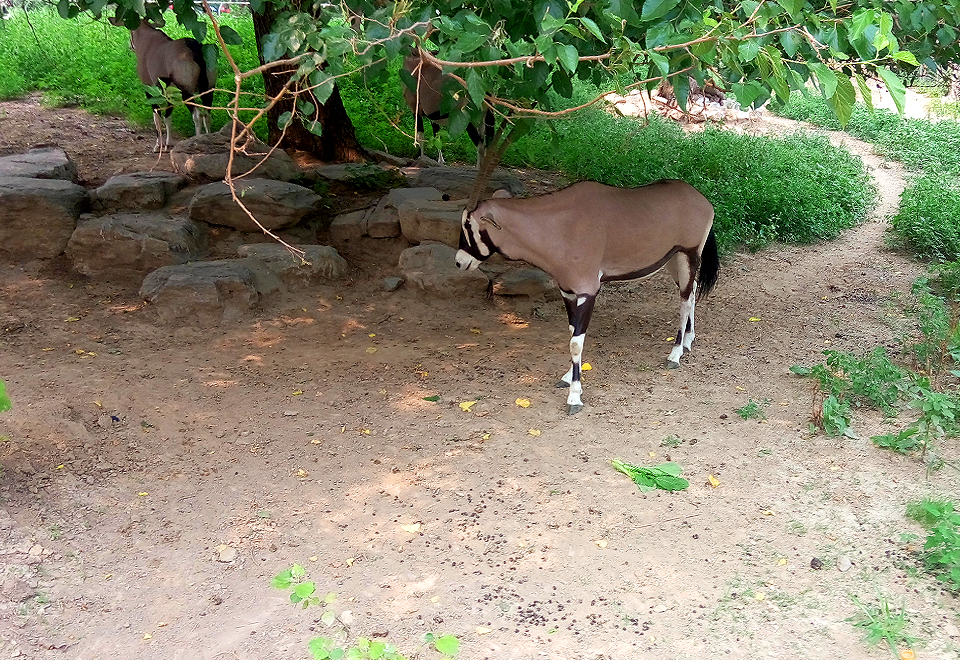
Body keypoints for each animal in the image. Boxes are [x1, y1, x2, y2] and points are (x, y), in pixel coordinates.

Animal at [111, 16, 217, 152]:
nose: (131, 46)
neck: (147, 37)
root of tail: (195, 49)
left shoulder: (150, 89)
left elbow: (157, 117)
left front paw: (158, 146)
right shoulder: (170, 94)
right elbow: (168, 117)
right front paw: (168, 144)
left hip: (187, 92)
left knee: (197, 115)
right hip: (208, 89)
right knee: (207, 115)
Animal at [458, 180, 720, 416]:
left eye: (469, 225)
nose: (459, 262)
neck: (555, 225)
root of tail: (701, 199)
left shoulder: (588, 291)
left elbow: (576, 342)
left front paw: (574, 397)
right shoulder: (567, 291)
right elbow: (572, 333)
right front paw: (567, 377)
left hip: (688, 255)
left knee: (685, 300)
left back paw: (675, 354)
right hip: (673, 261)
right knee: (692, 291)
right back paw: (688, 341)